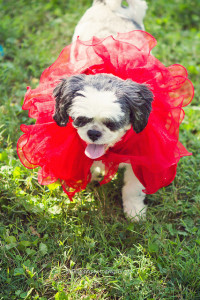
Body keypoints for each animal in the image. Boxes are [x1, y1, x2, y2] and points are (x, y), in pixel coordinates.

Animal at [52, 0, 152, 220]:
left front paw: (134, 211)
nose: (94, 133)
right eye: (80, 119)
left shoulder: (141, 157)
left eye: (112, 124)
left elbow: (133, 188)